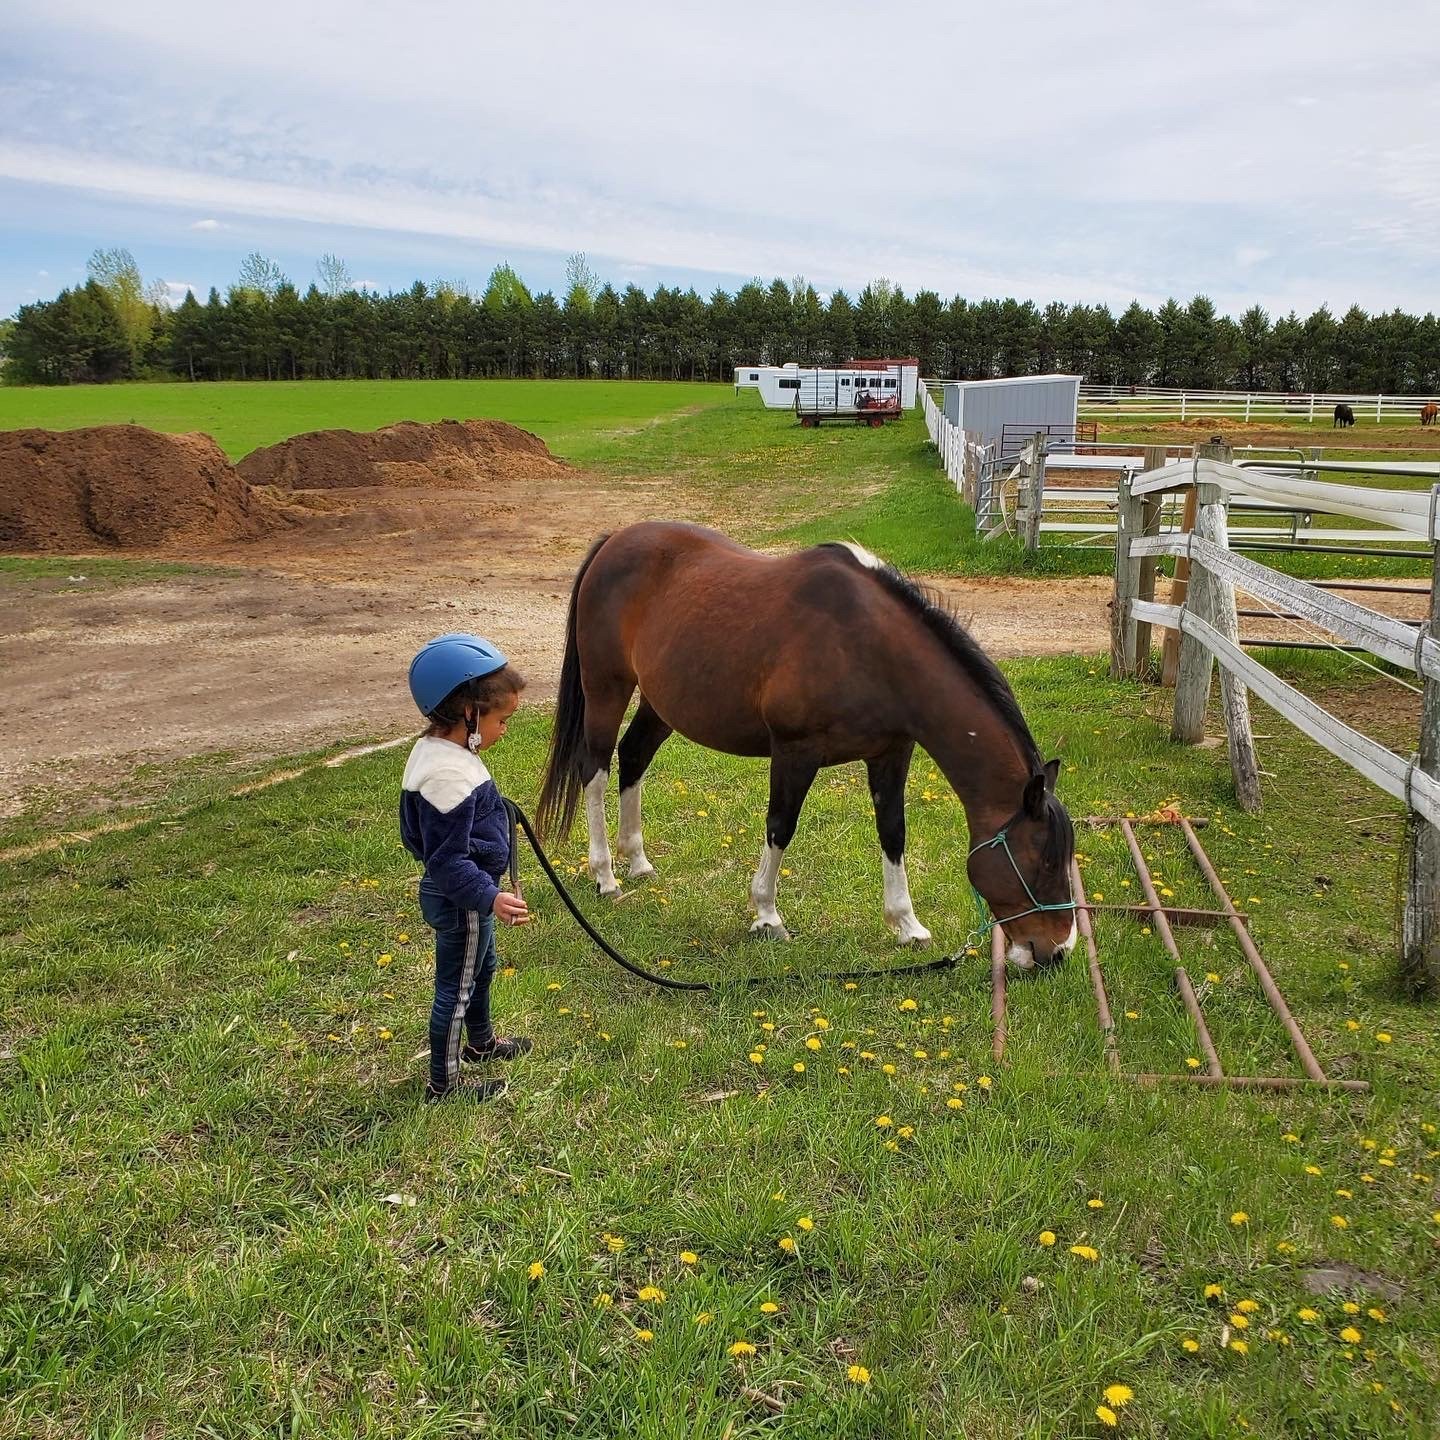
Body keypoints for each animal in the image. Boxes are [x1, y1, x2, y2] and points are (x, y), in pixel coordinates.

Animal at [535, 522, 1077, 970]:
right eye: (1046, 861)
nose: (1057, 951)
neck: (868, 645)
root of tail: (615, 541)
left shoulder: (890, 754)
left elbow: (893, 833)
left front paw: (906, 925)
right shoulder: (795, 752)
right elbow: (781, 826)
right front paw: (767, 915)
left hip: (660, 702)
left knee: (633, 757)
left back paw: (638, 861)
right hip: (606, 689)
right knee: (595, 769)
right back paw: (606, 876)